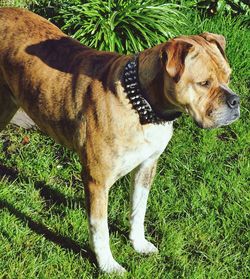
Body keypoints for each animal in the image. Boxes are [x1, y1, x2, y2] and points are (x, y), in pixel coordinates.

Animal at [0, 7, 240, 274]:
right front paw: (107, 265)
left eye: (228, 77)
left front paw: (138, 244)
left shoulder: (147, 166)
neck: (143, 106)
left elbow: (138, 210)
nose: (235, 101)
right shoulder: (97, 180)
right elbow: (100, 228)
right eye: (203, 83)